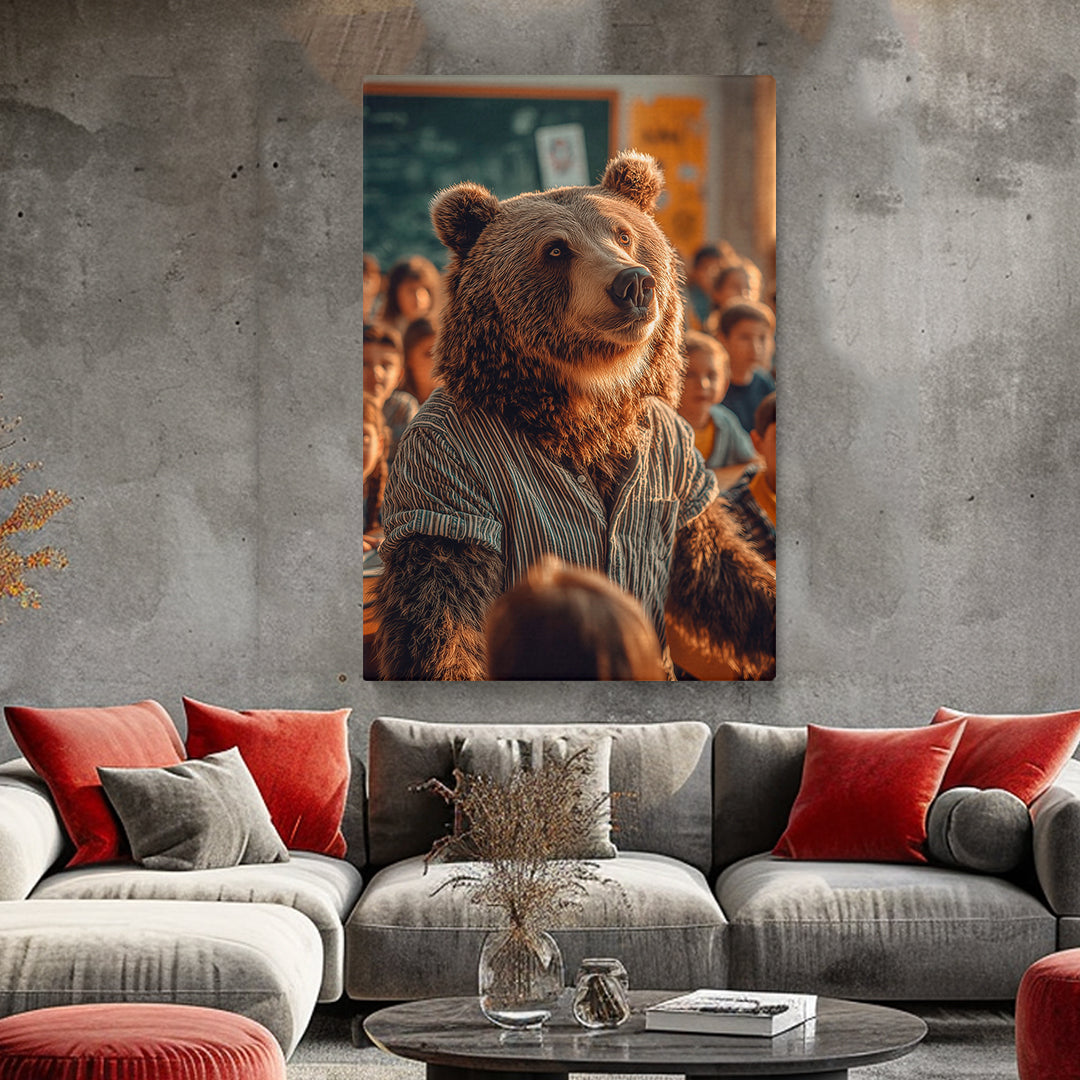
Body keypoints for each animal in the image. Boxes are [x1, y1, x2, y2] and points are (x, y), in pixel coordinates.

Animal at [371, 149, 775, 680]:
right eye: (556, 250)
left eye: (623, 234)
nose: (633, 282)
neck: (584, 408)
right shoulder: (447, 481)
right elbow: (444, 599)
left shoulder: (672, 456)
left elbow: (716, 566)